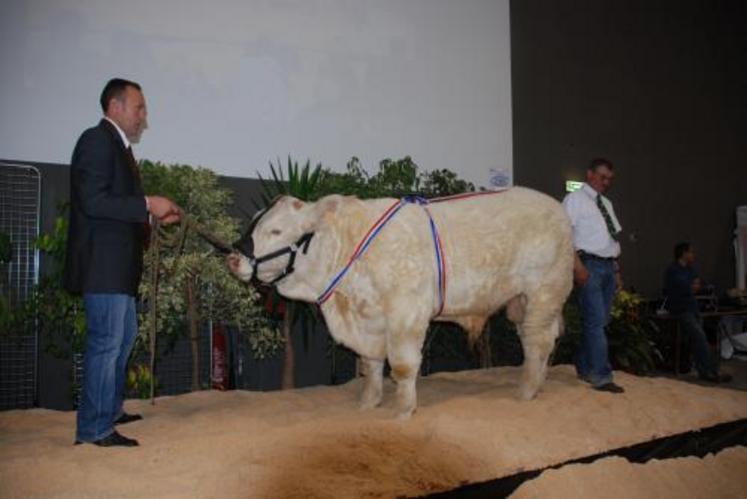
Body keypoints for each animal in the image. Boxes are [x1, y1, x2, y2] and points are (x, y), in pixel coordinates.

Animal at [228, 189, 572, 420]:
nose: (232, 258)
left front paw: (404, 411)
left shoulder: (406, 311)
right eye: (254, 223)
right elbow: (370, 364)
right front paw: (368, 404)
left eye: (276, 230)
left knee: (538, 341)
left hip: (544, 292)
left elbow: (403, 366)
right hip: (522, 302)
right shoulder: (369, 322)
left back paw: (525, 393)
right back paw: (537, 386)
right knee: (537, 341)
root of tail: (556, 208)